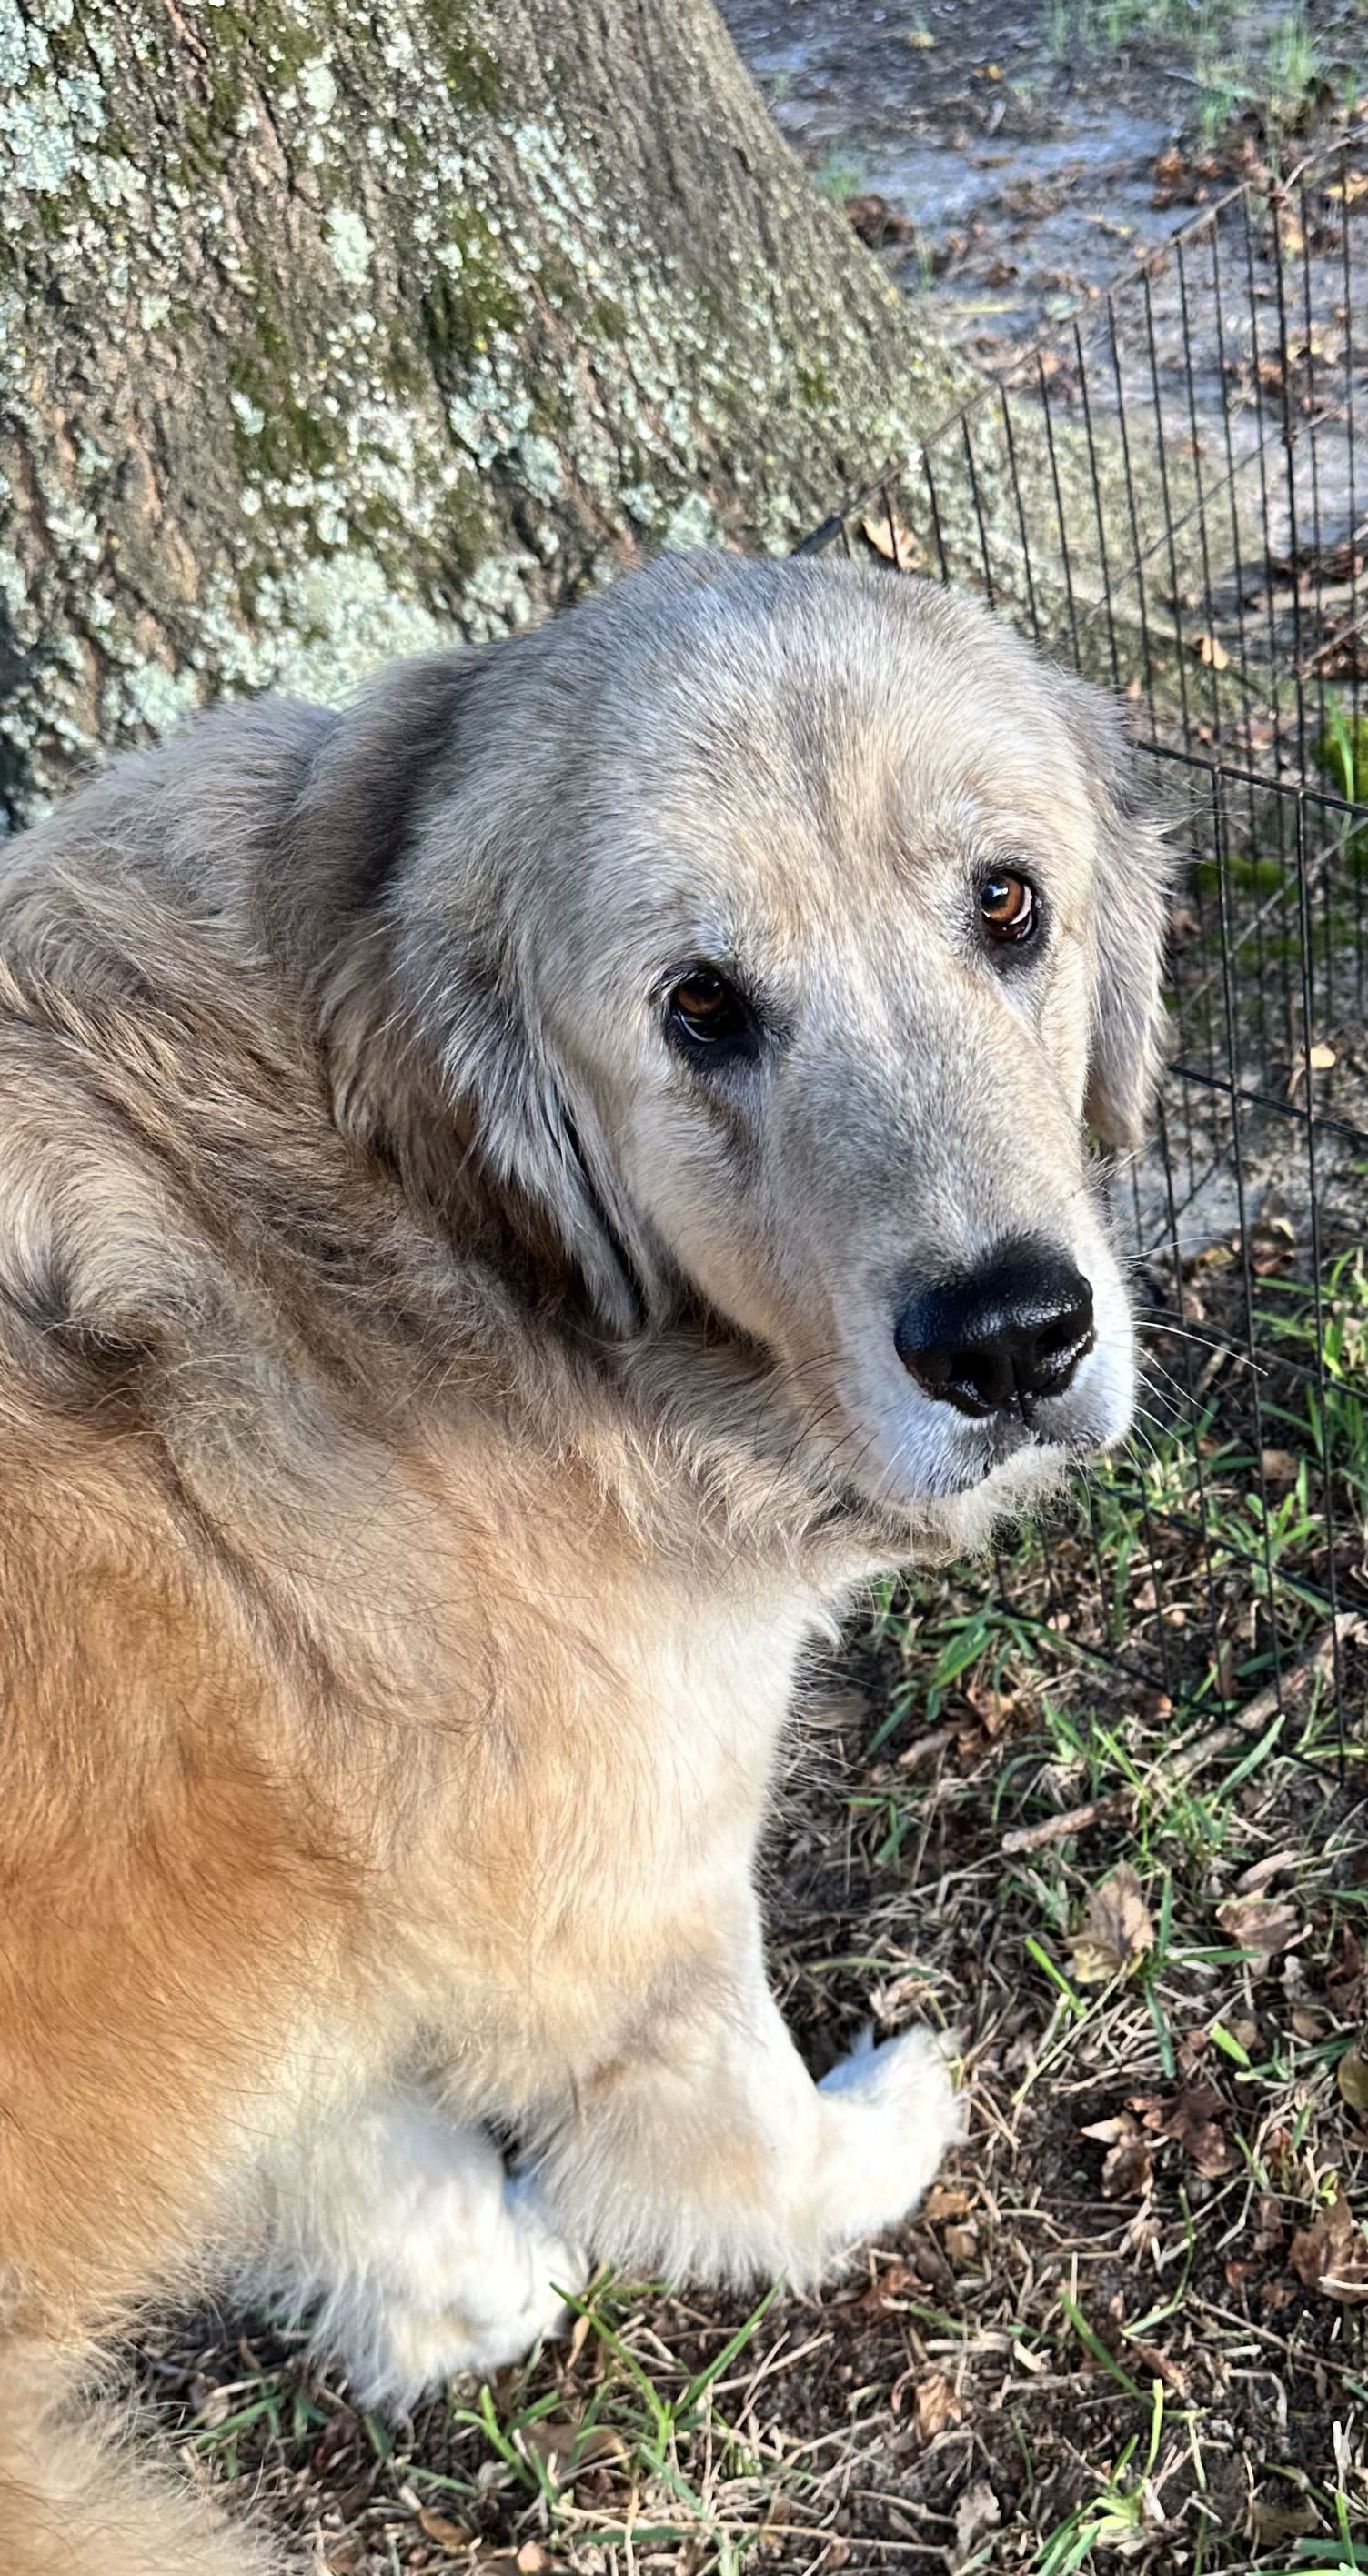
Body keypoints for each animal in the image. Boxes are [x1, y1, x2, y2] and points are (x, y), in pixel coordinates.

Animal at [0, 554, 1174, 2565]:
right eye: (697, 1006)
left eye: (1004, 903)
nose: (1011, 1338)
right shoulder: (621, 1906)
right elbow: (738, 2123)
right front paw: (854, 2152)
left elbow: (366, 2156)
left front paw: (474, 2289)